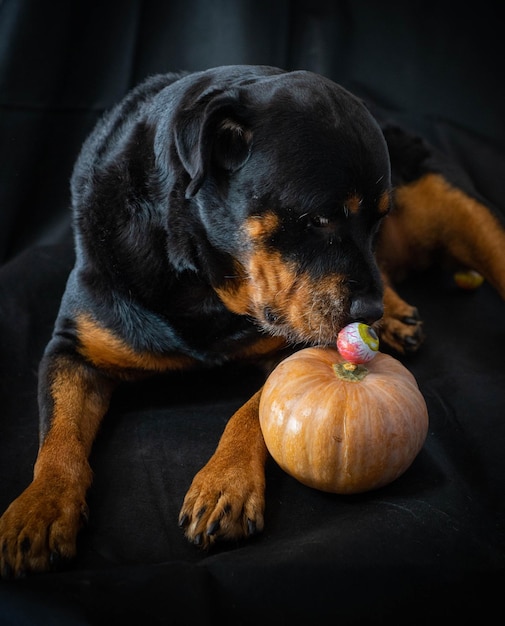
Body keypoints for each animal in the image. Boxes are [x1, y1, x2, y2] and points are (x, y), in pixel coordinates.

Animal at [0, 64, 504, 576]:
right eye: (320, 219)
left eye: (378, 220)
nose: (369, 315)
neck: (204, 283)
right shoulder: (72, 348)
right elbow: (57, 437)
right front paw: (41, 505)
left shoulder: (299, 342)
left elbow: (252, 410)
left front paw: (226, 483)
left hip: (460, 209)